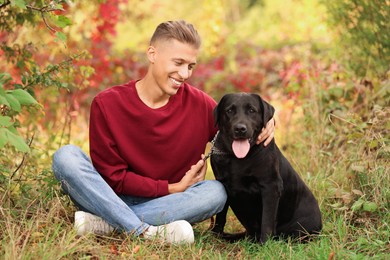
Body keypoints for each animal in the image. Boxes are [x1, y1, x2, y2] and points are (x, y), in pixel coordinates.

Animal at [212, 93, 322, 244]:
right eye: (229, 111)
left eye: (252, 110)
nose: (240, 129)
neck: (237, 158)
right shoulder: (222, 184)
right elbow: (220, 216)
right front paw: (215, 236)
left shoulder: (271, 187)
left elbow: (267, 220)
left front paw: (265, 244)